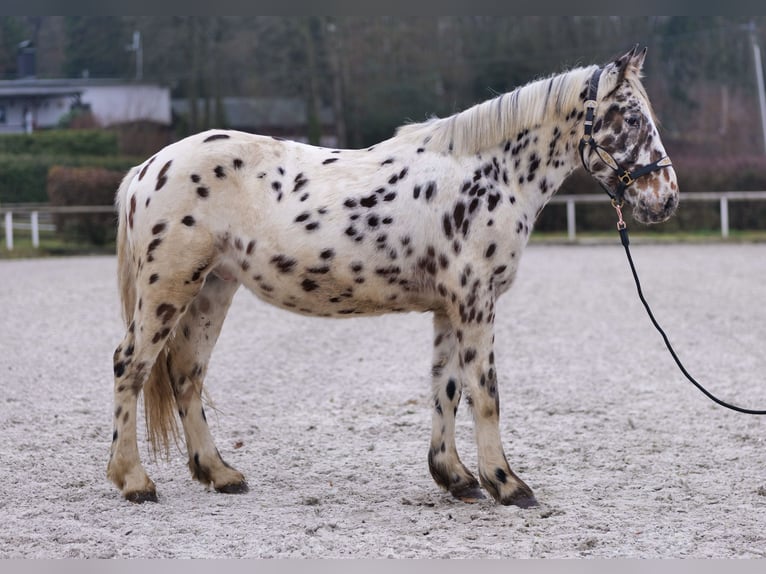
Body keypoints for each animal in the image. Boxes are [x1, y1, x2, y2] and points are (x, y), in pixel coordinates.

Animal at [106, 48, 680, 508]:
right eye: (631, 118)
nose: (666, 198)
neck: (487, 173)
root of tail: (147, 169)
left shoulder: (450, 307)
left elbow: (446, 388)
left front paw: (456, 478)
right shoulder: (475, 301)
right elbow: (485, 392)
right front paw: (506, 484)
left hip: (213, 288)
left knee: (187, 373)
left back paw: (220, 474)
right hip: (169, 287)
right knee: (131, 366)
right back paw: (134, 480)